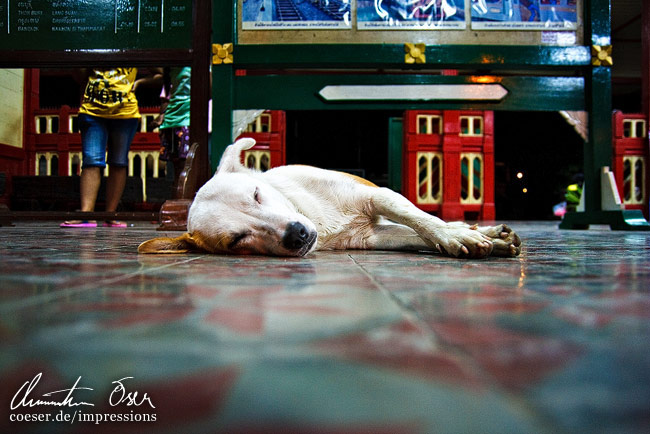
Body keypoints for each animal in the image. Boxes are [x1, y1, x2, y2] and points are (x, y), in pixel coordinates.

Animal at [139, 138, 520, 258]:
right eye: (237, 240)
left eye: (256, 195)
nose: (296, 235)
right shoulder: (370, 237)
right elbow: (415, 235)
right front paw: (463, 239)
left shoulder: (379, 197)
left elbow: (423, 221)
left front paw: (455, 237)